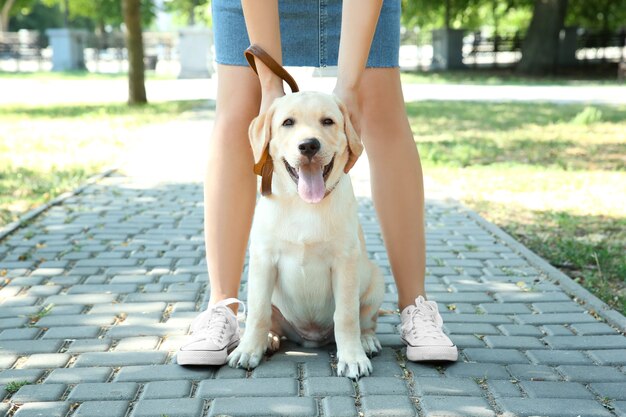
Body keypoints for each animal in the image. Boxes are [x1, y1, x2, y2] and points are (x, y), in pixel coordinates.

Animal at [228, 92, 382, 378]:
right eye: (288, 123)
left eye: (328, 121)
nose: (309, 145)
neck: (304, 203)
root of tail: (311, 338)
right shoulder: (263, 260)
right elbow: (258, 312)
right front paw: (248, 349)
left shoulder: (345, 262)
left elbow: (346, 316)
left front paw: (352, 358)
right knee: (270, 318)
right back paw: (268, 339)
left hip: (377, 282)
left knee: (365, 319)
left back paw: (366, 341)